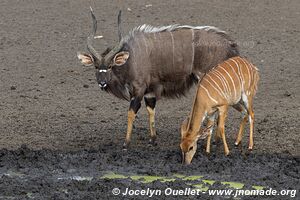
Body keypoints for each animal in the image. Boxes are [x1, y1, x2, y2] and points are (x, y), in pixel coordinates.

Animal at [77, 8, 239, 149]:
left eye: (110, 66)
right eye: (96, 67)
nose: (102, 83)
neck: (131, 58)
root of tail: (230, 45)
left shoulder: (139, 89)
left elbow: (131, 112)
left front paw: (126, 143)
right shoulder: (149, 92)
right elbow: (151, 110)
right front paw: (153, 140)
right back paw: (216, 139)